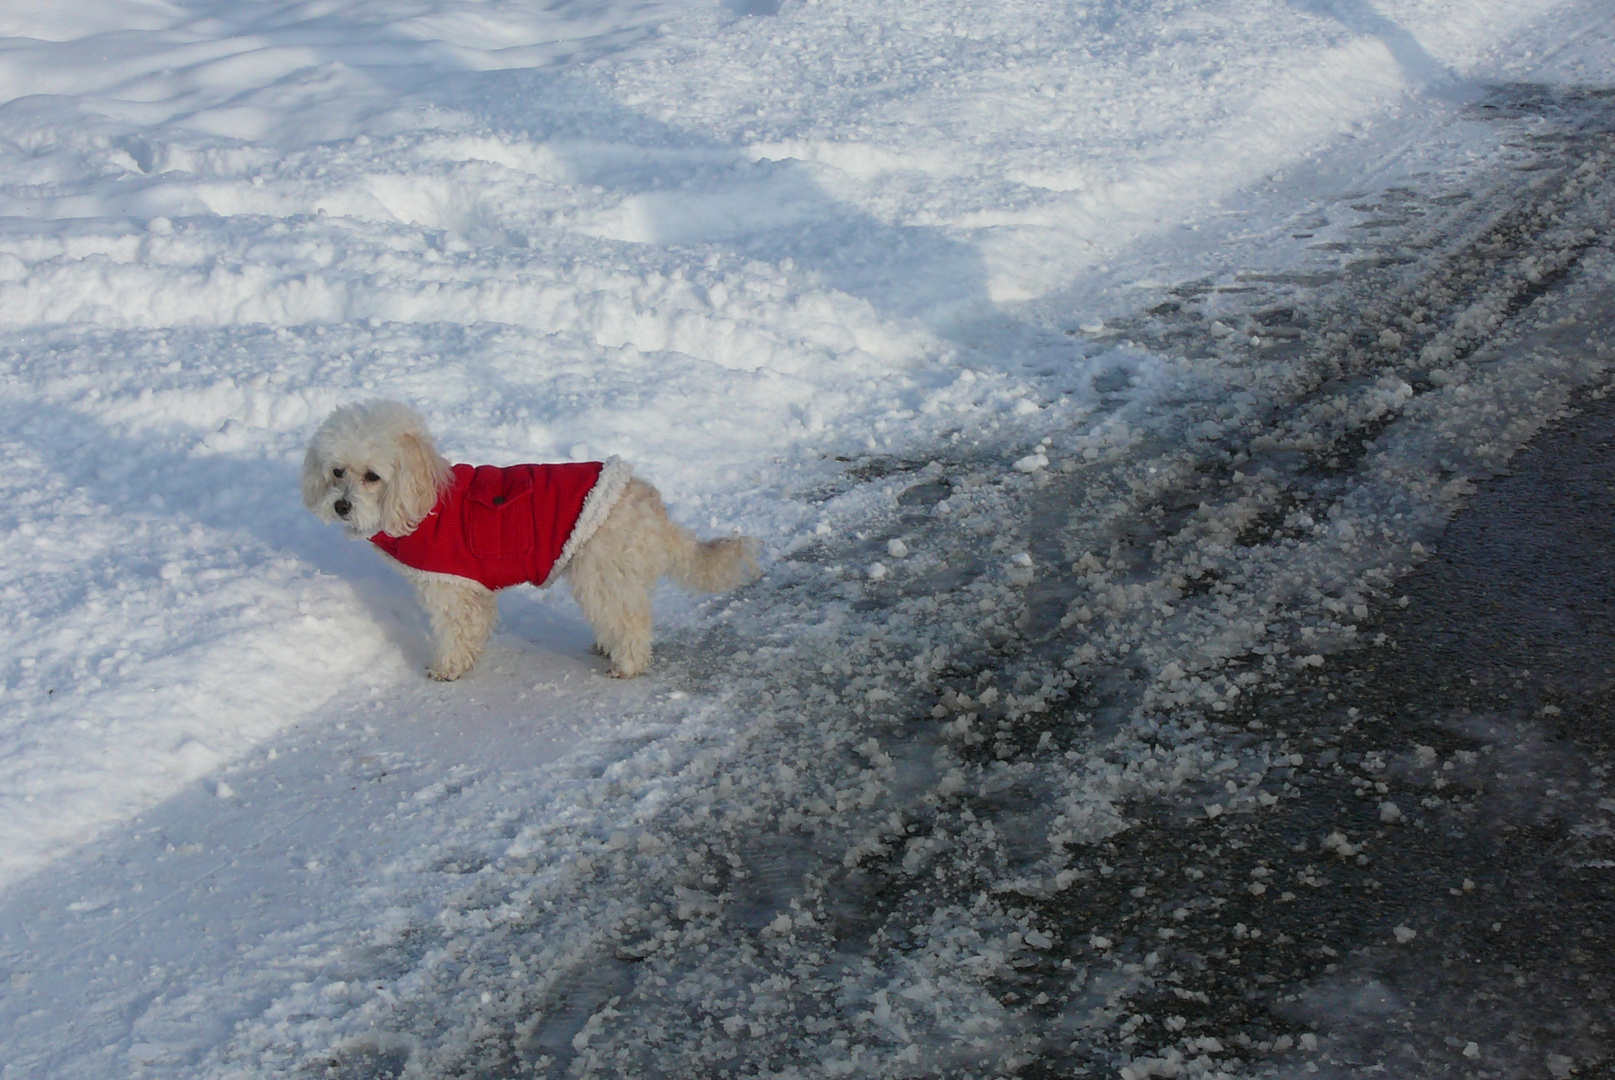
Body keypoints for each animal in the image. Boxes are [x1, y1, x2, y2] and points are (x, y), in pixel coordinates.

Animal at [303, 400, 755, 678]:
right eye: (337, 472)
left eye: (372, 476)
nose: (341, 506)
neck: (423, 500)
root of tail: (649, 502)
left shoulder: (454, 588)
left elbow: (457, 632)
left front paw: (448, 667)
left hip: (601, 573)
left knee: (630, 621)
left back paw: (626, 663)